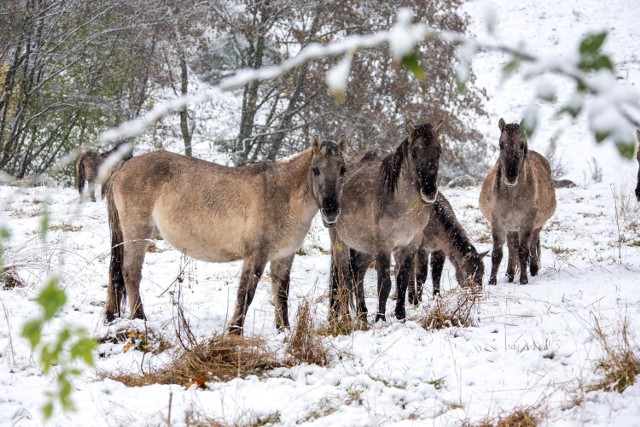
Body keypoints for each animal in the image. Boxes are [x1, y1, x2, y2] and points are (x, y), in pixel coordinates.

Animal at [328, 122, 442, 326]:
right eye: (414, 151)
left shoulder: (409, 246)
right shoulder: (383, 248)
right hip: (340, 244)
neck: (402, 207)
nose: (429, 191)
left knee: (357, 275)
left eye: (439, 151)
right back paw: (345, 318)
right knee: (344, 278)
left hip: (364, 249)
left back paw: (362, 313)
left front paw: (401, 316)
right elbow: (385, 284)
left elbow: (402, 280)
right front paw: (380, 318)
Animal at [480, 118, 556, 286]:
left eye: (521, 145)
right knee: (512, 247)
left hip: (535, 225)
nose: (510, 176)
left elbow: (523, 251)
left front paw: (524, 279)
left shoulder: (527, 222)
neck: (513, 196)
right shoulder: (498, 222)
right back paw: (509, 274)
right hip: (511, 227)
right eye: (501, 145)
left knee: (532, 243)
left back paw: (533, 269)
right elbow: (497, 253)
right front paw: (492, 281)